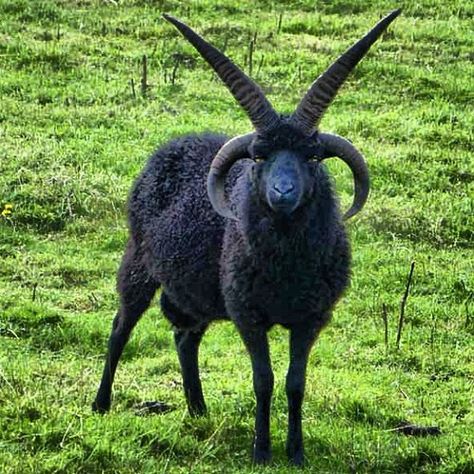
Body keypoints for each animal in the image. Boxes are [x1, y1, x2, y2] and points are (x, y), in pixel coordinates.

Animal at [92, 9, 400, 464]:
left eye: (312, 156)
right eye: (259, 156)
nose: (282, 193)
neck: (287, 268)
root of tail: (175, 143)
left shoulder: (312, 317)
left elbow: (295, 383)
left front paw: (296, 453)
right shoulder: (247, 314)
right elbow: (263, 381)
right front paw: (261, 451)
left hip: (198, 291)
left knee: (185, 337)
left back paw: (198, 410)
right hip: (138, 263)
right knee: (120, 328)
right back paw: (100, 404)